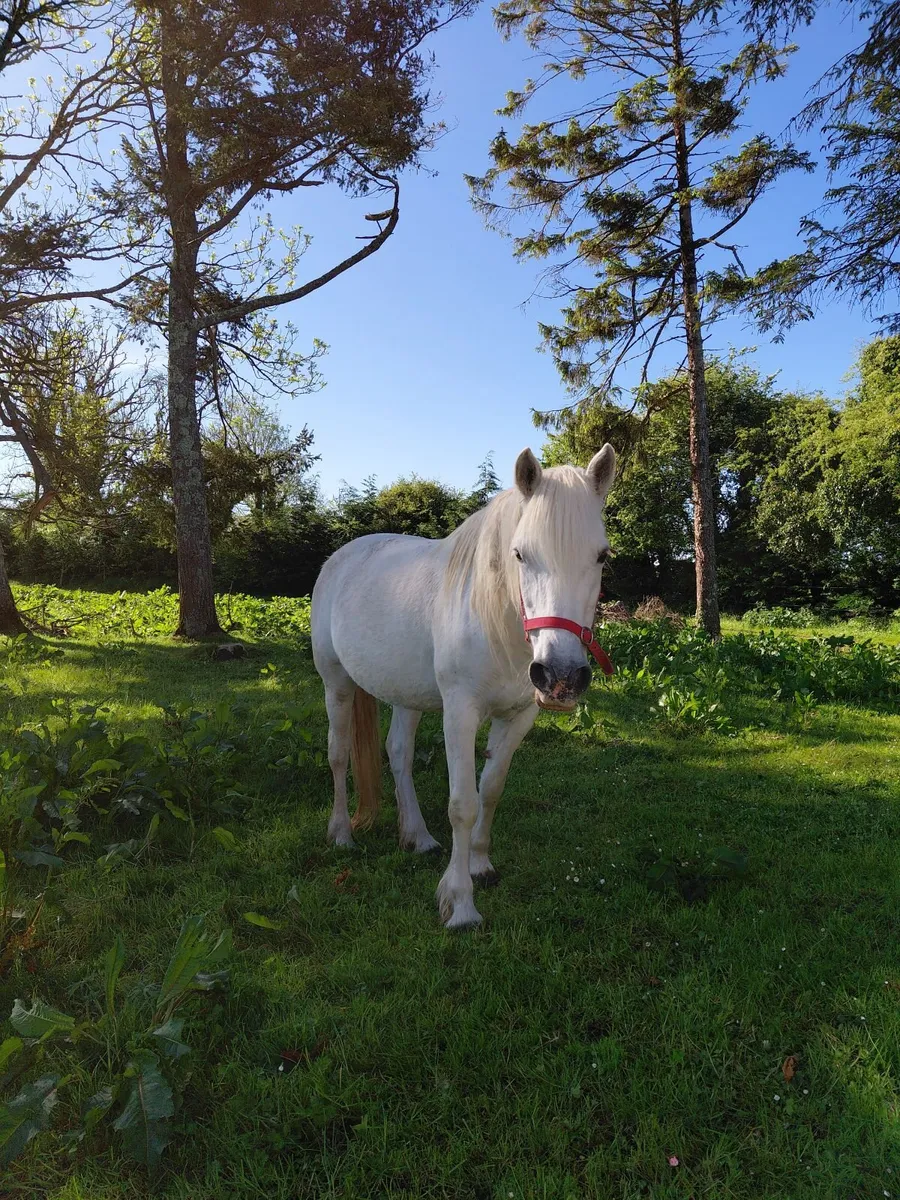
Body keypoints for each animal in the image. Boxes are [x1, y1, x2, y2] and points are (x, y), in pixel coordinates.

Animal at [311, 445, 617, 929]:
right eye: (520, 554)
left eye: (602, 556)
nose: (562, 676)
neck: (498, 625)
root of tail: (338, 560)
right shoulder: (460, 715)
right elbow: (462, 804)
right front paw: (460, 904)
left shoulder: (518, 717)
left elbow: (490, 790)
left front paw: (480, 865)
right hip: (336, 683)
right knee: (339, 754)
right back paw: (341, 833)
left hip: (406, 694)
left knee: (398, 752)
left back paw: (417, 836)